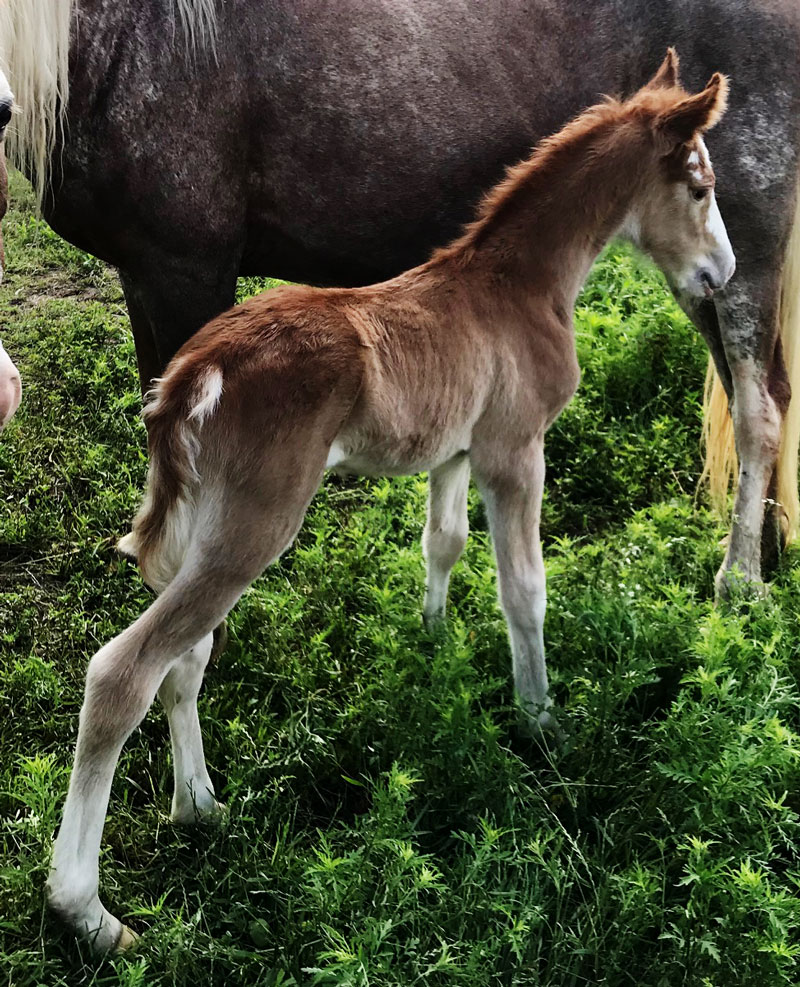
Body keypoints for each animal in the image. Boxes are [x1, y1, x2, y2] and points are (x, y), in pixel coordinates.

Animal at [1, 0, 800, 592]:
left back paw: (740, 580)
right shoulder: (148, 278)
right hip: (699, 270)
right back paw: (770, 547)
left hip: (744, 246)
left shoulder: (182, 273)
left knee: (758, 408)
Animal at [50, 52, 736, 948]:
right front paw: (541, 720)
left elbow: (442, 543)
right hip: (255, 523)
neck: (517, 284)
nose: (722, 273)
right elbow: (525, 589)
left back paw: (198, 804)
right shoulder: (515, 451)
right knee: (121, 671)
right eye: (699, 184)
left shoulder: (454, 451)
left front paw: (433, 640)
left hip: (208, 520)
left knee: (184, 658)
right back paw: (88, 911)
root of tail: (191, 376)